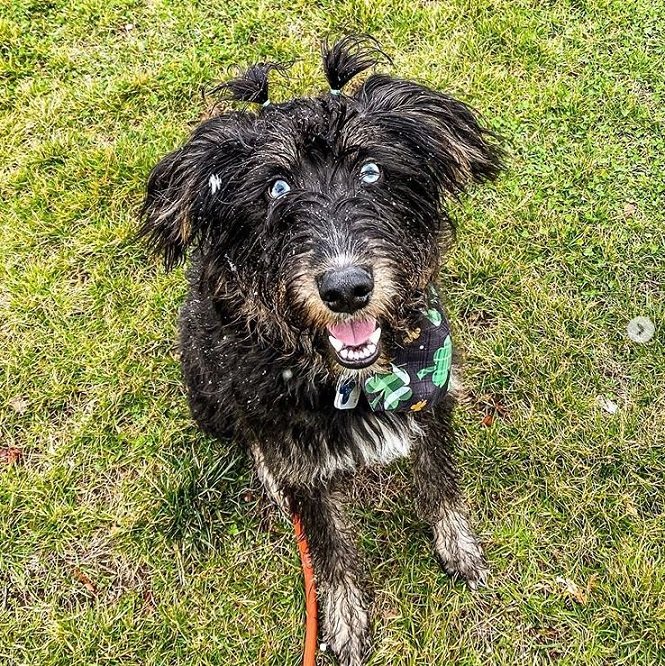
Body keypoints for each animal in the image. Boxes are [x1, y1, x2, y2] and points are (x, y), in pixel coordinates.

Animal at [141, 36, 504, 664]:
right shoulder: (303, 466)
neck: (360, 379)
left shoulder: (432, 400)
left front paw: (458, 548)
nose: (346, 288)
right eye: (276, 188)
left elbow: (440, 482)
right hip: (206, 391)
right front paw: (344, 620)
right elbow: (328, 545)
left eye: (372, 170)